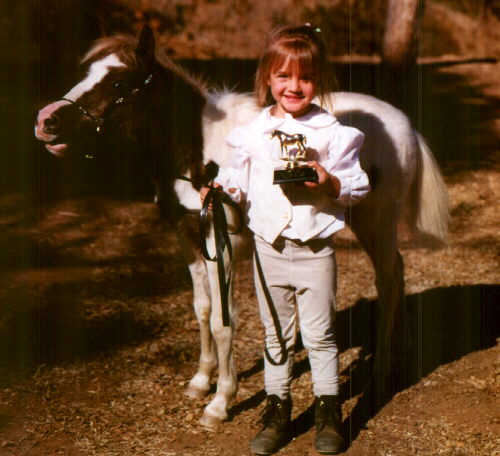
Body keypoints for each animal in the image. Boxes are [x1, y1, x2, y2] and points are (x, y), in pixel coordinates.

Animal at [35, 25, 450, 428]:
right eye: (87, 73)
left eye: (120, 82)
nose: (46, 121)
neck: (195, 151)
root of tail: (406, 127)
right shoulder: (189, 237)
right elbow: (202, 308)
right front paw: (201, 381)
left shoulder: (221, 242)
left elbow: (224, 320)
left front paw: (220, 402)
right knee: (397, 272)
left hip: (376, 223)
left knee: (389, 279)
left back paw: (381, 375)